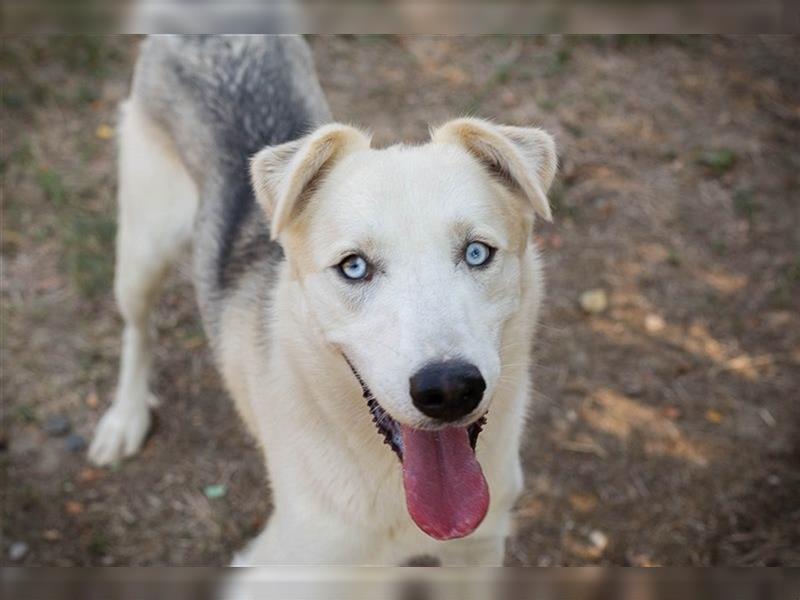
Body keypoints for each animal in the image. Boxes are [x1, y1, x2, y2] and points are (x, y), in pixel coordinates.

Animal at [84, 34, 552, 568]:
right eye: (354, 267)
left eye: (477, 253)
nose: (450, 388)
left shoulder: (477, 552)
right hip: (143, 252)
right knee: (138, 330)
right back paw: (126, 417)